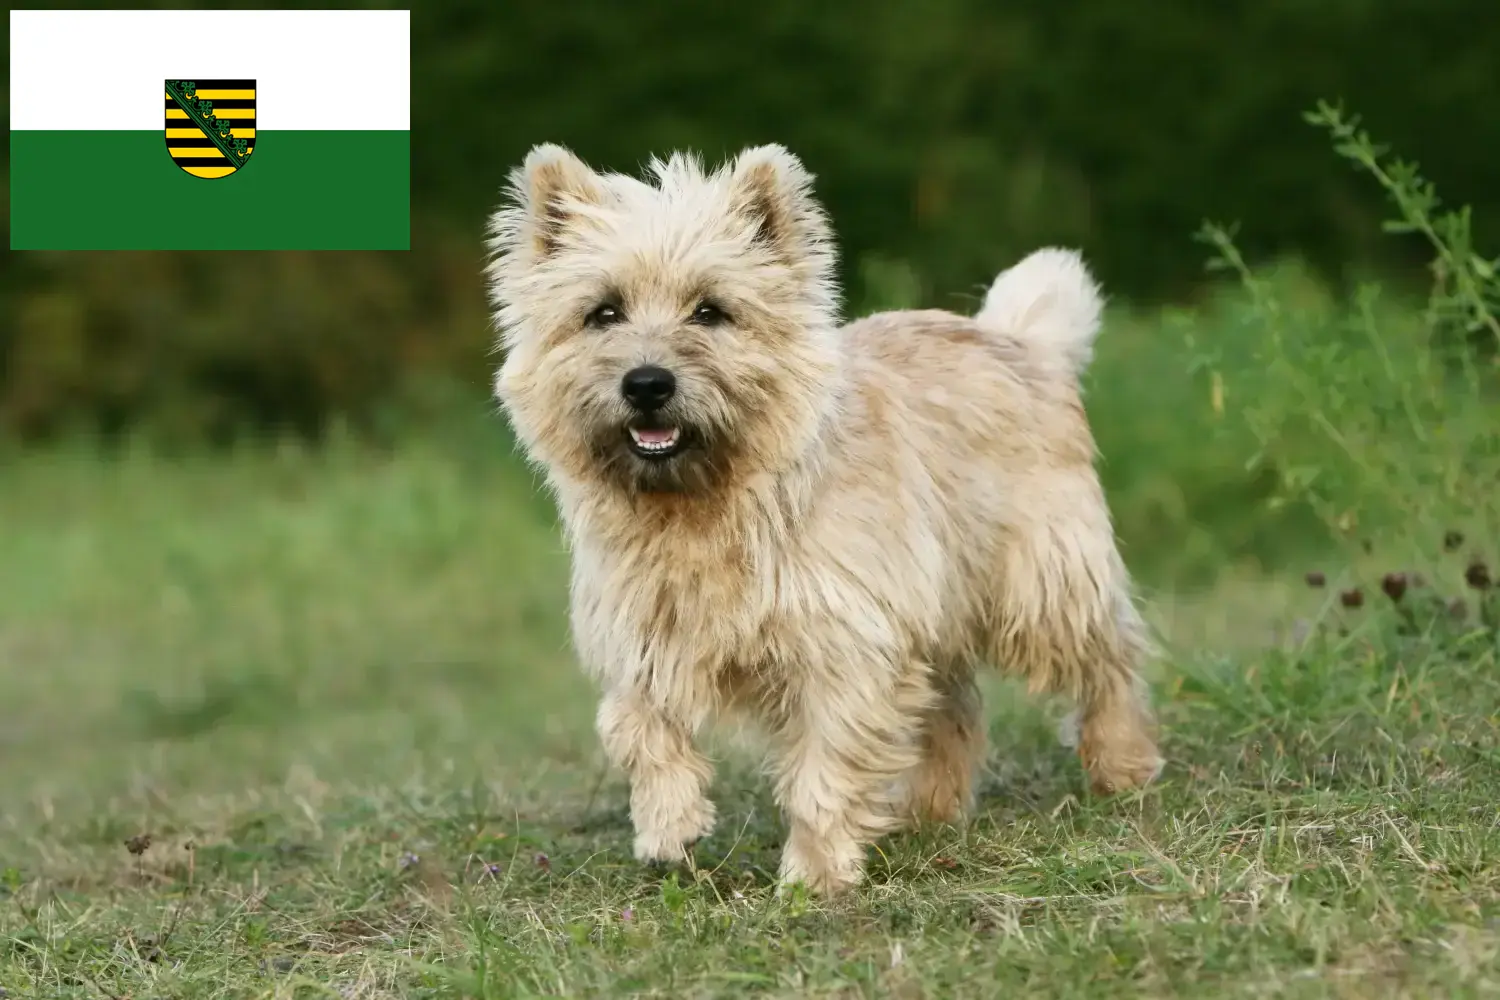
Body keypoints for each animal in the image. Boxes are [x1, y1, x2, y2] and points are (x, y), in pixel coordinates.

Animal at [486, 142, 1164, 899]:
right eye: (602, 312)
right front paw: (669, 824)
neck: (703, 506)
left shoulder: (844, 645)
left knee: (1108, 658)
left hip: (1042, 582)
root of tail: (1018, 340)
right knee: (954, 705)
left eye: (710, 311)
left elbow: (824, 769)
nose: (647, 383)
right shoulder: (644, 634)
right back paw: (928, 809)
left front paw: (814, 874)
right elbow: (635, 725)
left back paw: (1124, 765)